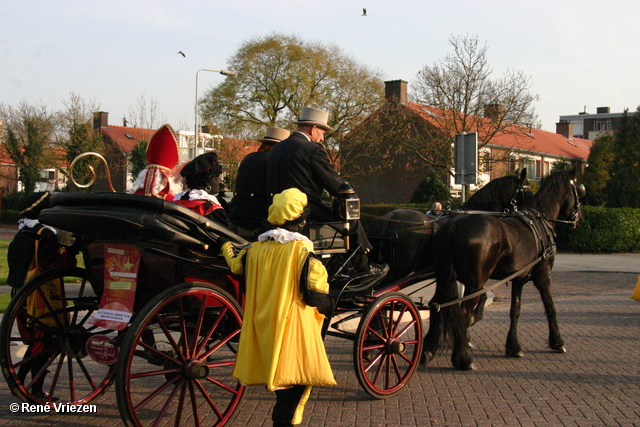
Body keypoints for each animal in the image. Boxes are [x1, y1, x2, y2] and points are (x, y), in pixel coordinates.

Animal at [424, 168, 584, 372]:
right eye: (578, 192)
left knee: (436, 305)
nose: (579, 219)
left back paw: (428, 350)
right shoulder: (543, 275)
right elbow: (550, 308)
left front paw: (513, 346)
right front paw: (558, 342)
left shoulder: (518, 278)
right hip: (475, 282)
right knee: (462, 311)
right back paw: (463, 358)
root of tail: (454, 225)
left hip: (446, 278)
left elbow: (515, 310)